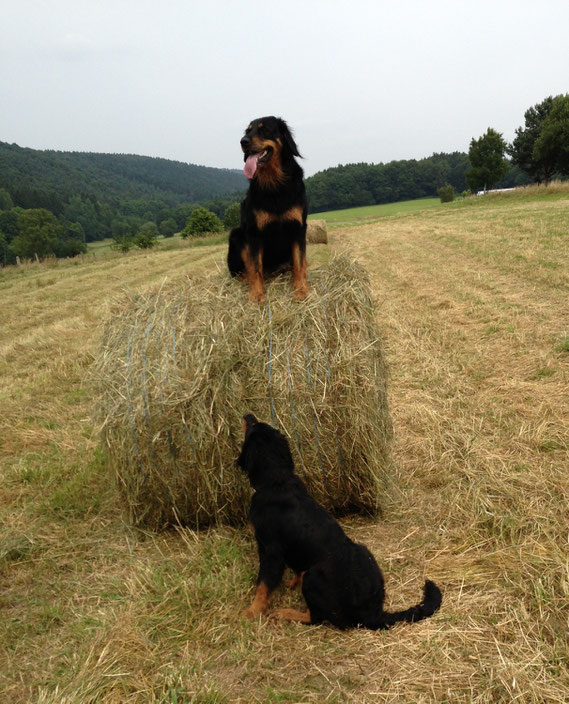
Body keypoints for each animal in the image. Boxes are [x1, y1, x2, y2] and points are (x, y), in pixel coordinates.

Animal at [226, 115, 308, 300]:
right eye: (248, 131)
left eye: (265, 130)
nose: (243, 141)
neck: (274, 184)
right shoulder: (254, 233)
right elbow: (256, 268)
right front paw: (257, 294)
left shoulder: (299, 228)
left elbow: (299, 263)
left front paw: (301, 289)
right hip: (237, 235)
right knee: (243, 271)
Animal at [237, 410, 442, 628]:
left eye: (252, 427)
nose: (247, 414)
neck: (277, 481)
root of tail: (374, 612)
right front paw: (291, 582)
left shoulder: (270, 550)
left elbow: (263, 586)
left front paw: (251, 612)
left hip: (313, 576)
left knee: (316, 617)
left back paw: (285, 613)